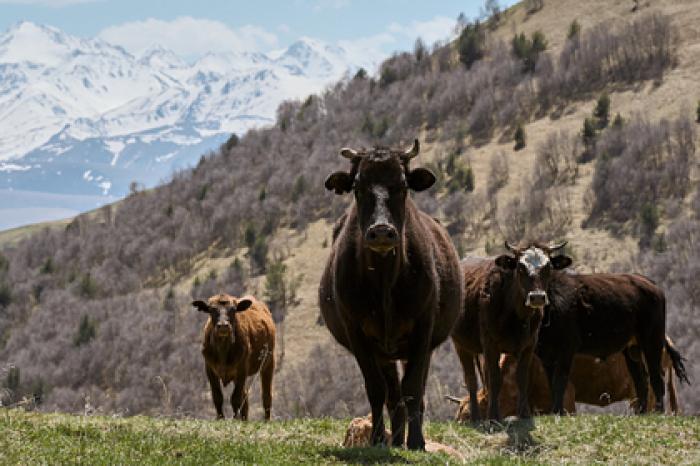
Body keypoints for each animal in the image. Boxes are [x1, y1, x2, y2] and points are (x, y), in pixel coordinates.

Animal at [194, 294, 278, 422]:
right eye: (212, 310)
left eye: (233, 310)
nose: (223, 326)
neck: (223, 350)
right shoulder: (209, 368)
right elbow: (217, 396)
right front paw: (220, 418)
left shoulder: (242, 369)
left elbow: (236, 398)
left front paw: (235, 419)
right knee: (245, 398)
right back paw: (244, 420)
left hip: (268, 362)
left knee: (266, 395)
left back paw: (266, 420)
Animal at [452, 246, 572, 424]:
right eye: (520, 268)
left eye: (548, 267)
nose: (537, 297)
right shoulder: (490, 345)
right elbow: (494, 379)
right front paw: (493, 416)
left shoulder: (529, 345)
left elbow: (521, 378)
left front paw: (524, 413)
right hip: (461, 345)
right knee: (471, 380)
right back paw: (476, 417)